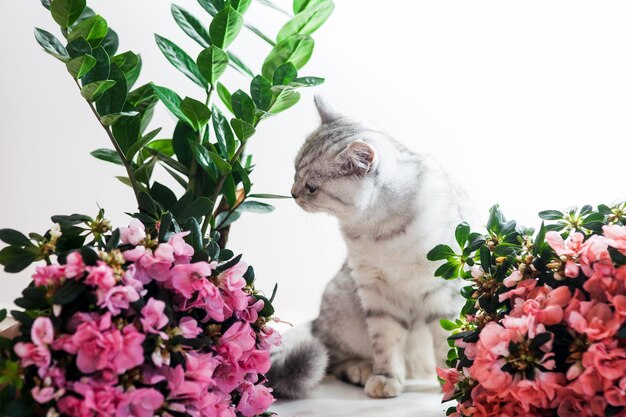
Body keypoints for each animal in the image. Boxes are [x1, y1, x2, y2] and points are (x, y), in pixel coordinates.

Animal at [266, 96, 476, 398]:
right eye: (294, 172)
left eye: (312, 187)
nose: (292, 193)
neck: (378, 231)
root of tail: (316, 322)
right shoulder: (377, 293)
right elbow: (385, 343)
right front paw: (386, 378)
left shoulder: (442, 292)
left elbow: (446, 343)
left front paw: (453, 381)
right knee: (330, 357)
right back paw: (361, 370)